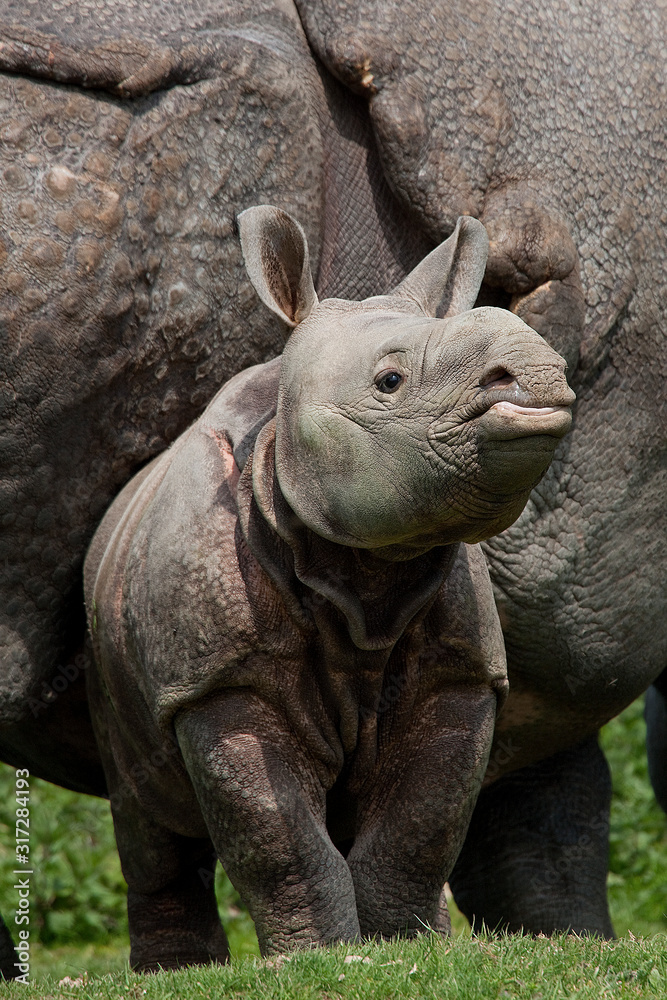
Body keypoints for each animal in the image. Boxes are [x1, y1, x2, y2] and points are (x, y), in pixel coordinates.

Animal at [82, 207, 574, 968]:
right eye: (390, 380)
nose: (540, 372)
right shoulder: (221, 679)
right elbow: (277, 840)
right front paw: (314, 959)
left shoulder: (460, 670)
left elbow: (420, 828)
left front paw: (407, 949)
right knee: (146, 816)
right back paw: (177, 969)